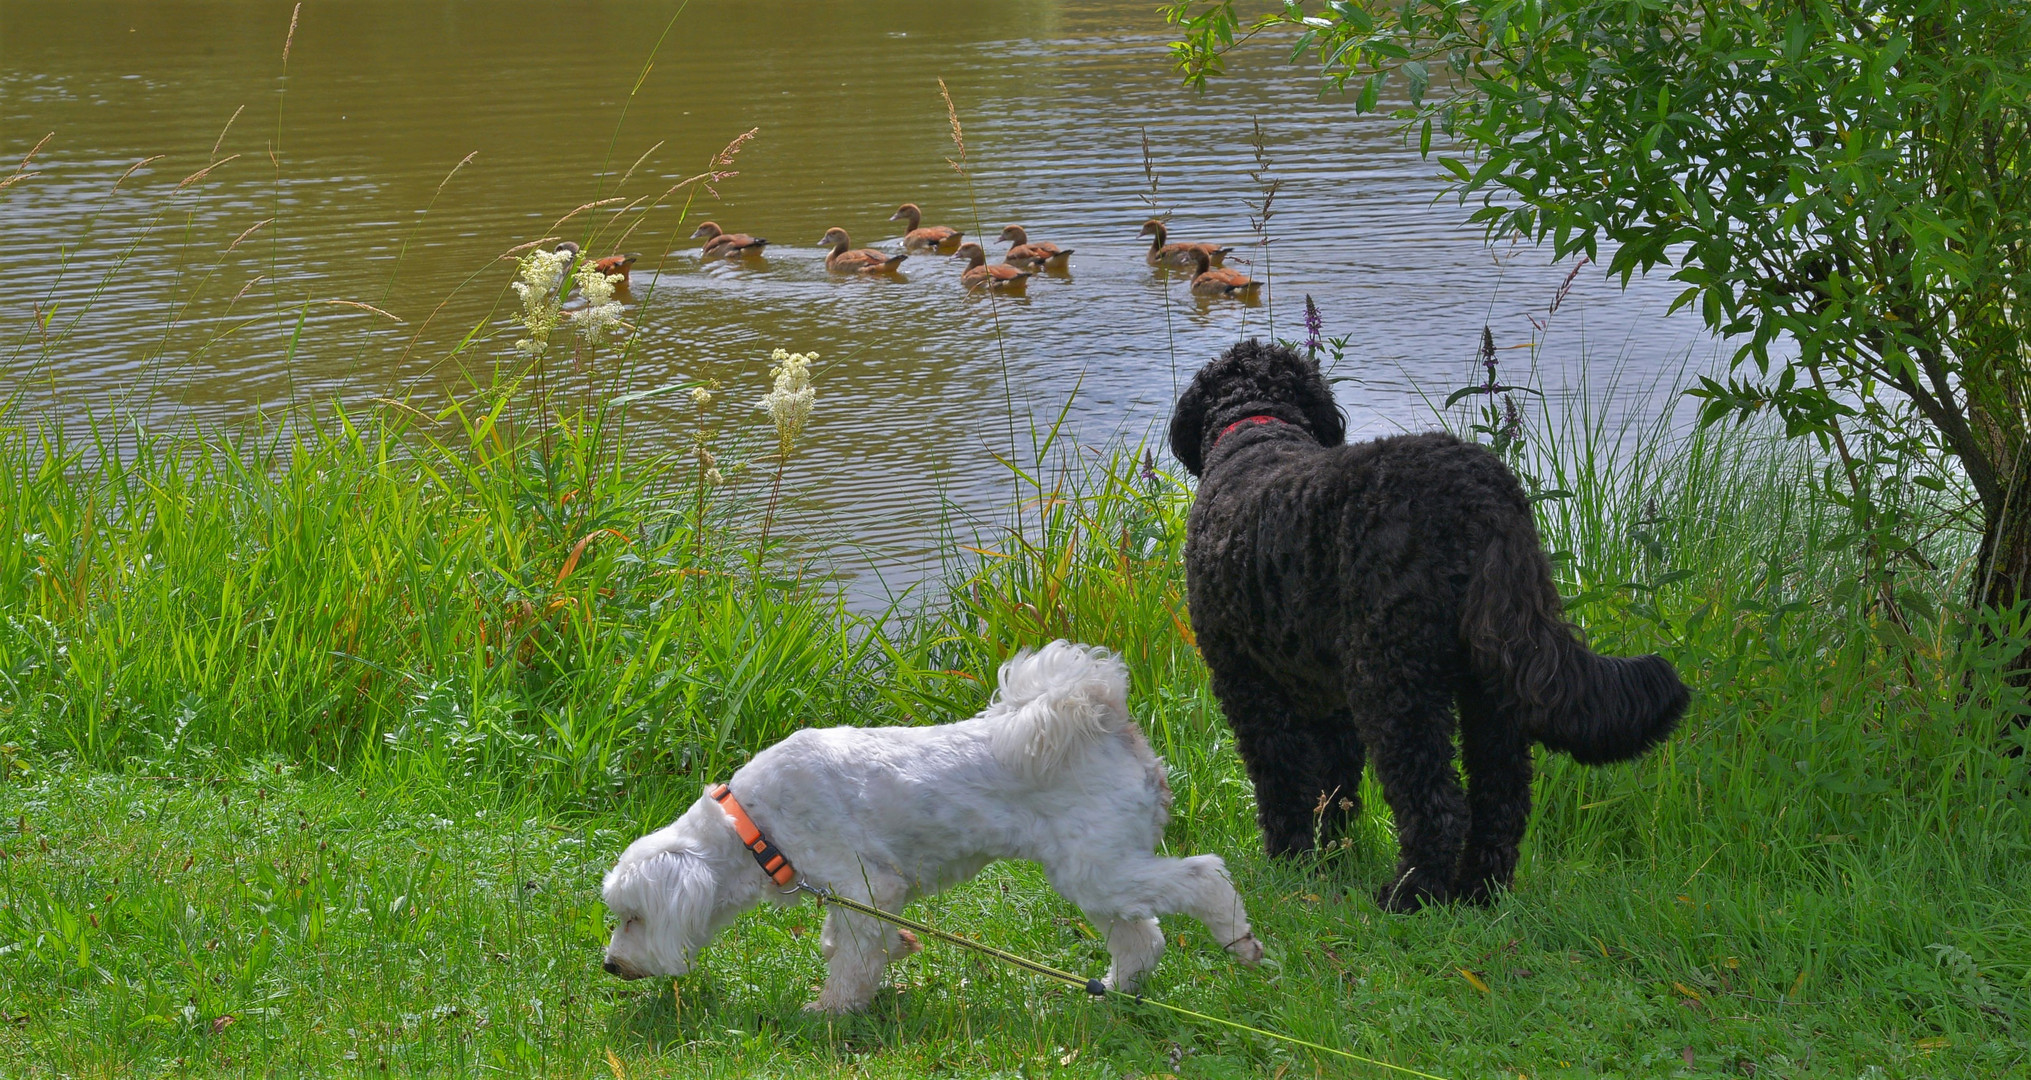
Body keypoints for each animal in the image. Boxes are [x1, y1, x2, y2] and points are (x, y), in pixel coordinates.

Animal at [593, 641, 1259, 1010]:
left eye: (633, 918)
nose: (610, 967)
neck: (754, 825)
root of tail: (1102, 713)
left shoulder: (864, 883)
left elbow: (852, 960)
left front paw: (829, 1010)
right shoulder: (858, 894)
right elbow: (849, 940)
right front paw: (887, 956)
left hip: (1100, 871)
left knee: (1205, 877)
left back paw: (1239, 941)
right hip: (1096, 873)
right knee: (1142, 938)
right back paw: (1116, 989)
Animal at [1169, 339, 1689, 909]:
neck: (1257, 426)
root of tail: (1483, 498)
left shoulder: (1248, 684)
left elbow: (1283, 782)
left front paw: (1290, 862)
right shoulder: (1330, 697)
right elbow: (1334, 786)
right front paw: (1331, 856)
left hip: (1394, 680)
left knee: (1437, 802)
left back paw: (1411, 893)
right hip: (1489, 681)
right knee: (1501, 797)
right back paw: (1481, 890)